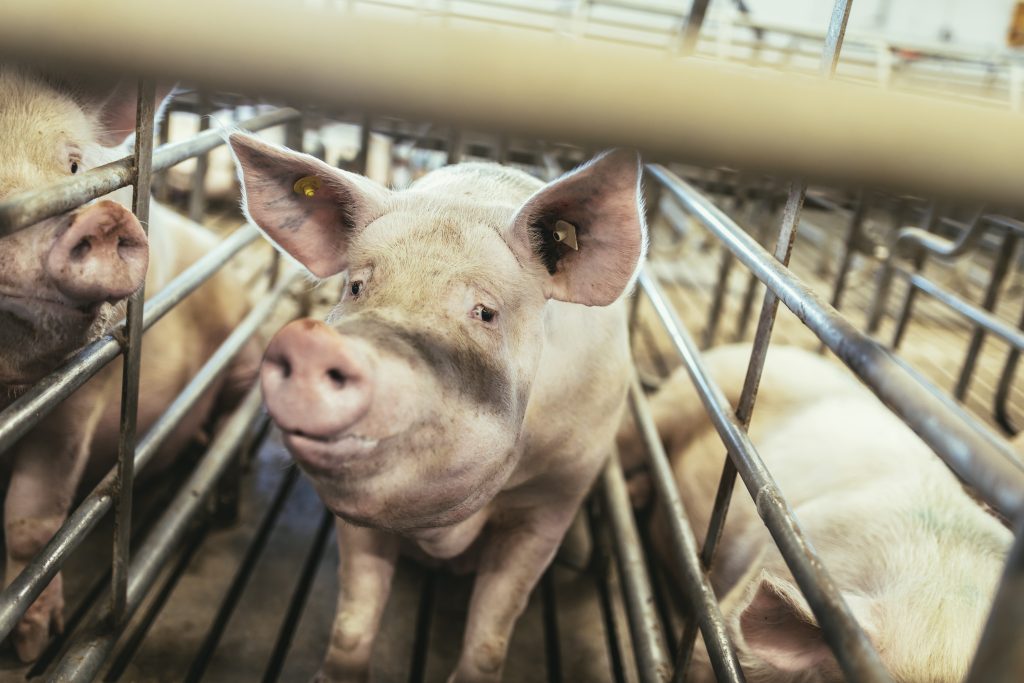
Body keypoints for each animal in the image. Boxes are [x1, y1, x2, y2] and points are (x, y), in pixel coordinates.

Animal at [0, 68, 254, 663]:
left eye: (74, 168)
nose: (105, 216)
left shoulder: (81, 394)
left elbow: (33, 518)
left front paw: (31, 645)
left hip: (243, 349)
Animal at [230, 131, 647, 679]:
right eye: (357, 285)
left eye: (485, 312)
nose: (313, 343)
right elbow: (355, 613)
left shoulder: (555, 495)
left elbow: (492, 628)